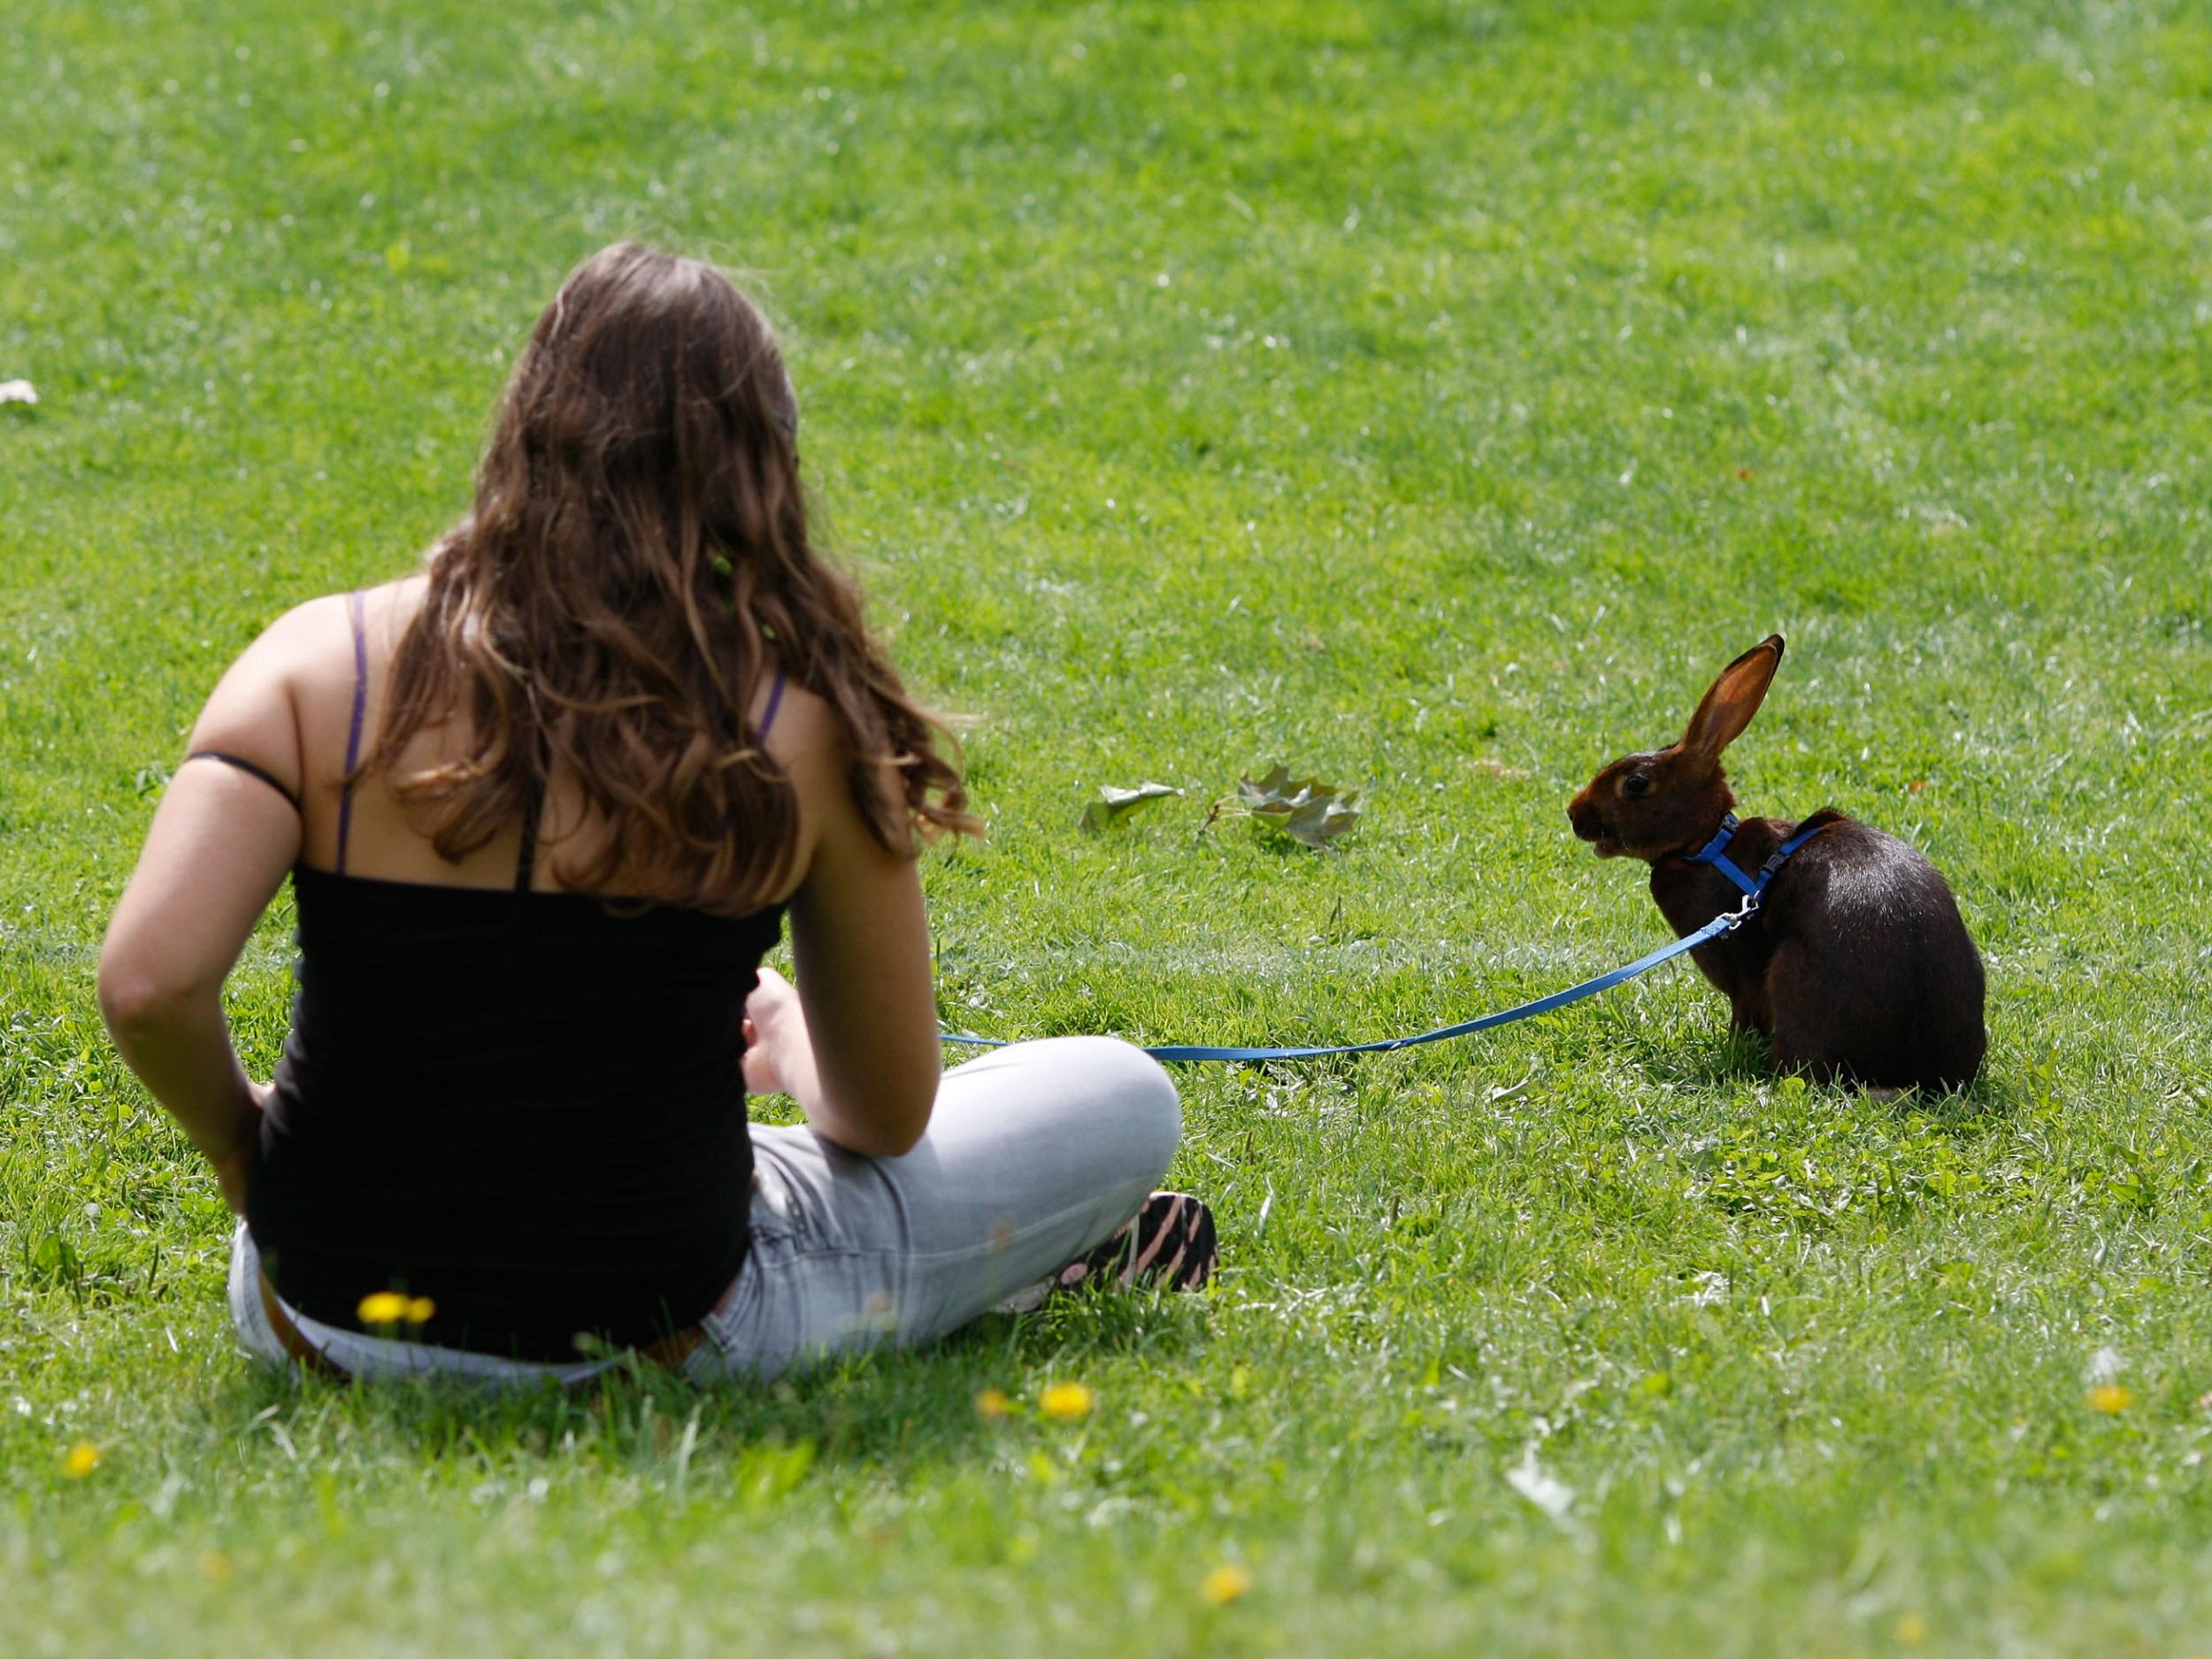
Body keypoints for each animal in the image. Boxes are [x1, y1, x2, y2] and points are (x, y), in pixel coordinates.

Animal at [1566, 641, 2000, 1097]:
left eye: (1635, 784)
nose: (1573, 814)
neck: (1705, 844)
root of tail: (1917, 1076)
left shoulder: (1743, 976)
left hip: (1789, 974)